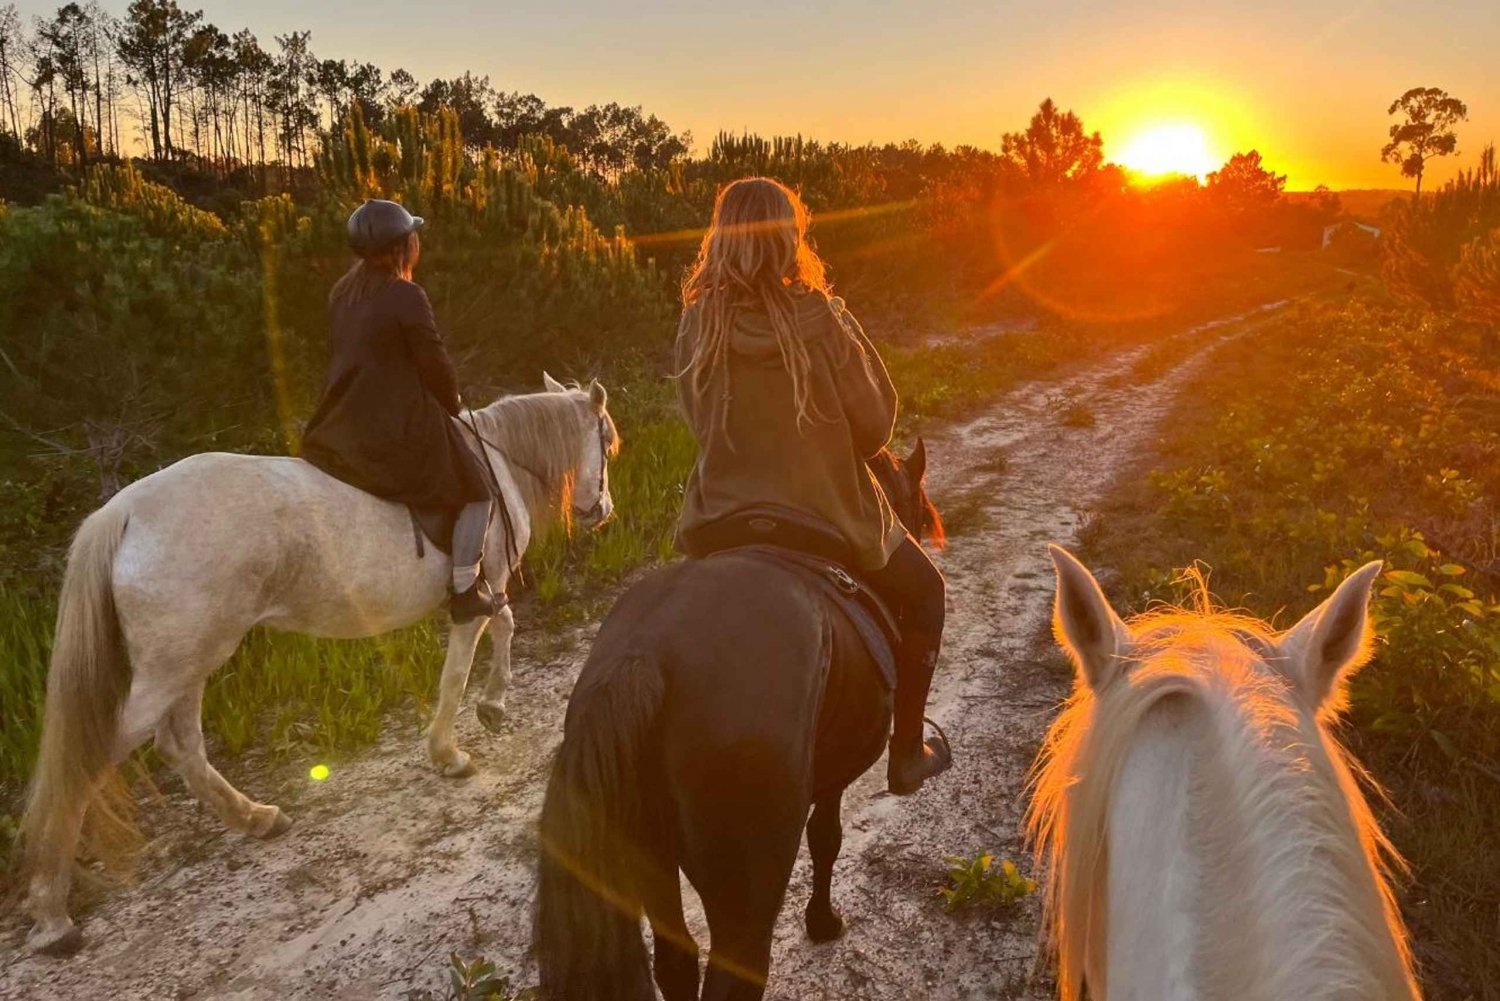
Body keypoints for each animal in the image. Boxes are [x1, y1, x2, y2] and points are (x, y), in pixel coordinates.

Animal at [17, 372, 615, 954]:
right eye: (607, 442)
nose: (603, 512)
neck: (500, 459)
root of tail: (124, 512)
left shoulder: (489, 591)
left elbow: (506, 626)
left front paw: (492, 706)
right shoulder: (475, 595)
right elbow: (457, 672)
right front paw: (449, 753)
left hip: (187, 661)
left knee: (179, 745)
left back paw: (256, 819)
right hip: (176, 664)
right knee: (90, 761)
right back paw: (53, 915)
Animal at [534, 441, 942, 1001]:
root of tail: (645, 656)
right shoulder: (831, 784)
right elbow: (827, 840)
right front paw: (823, 922)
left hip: (653, 865)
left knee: (677, 960)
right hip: (743, 898)